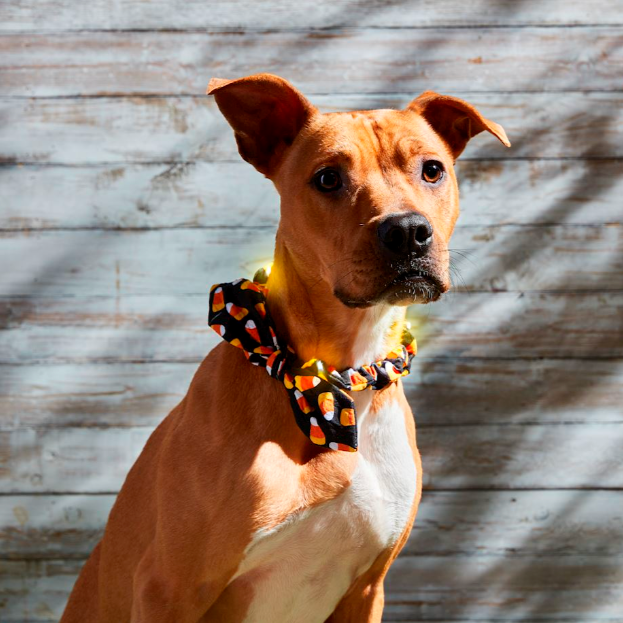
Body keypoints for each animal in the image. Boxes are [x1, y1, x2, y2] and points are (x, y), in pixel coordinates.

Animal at [62, 74, 512, 623]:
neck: (334, 378)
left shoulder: (367, 590)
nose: (408, 231)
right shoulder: (167, 588)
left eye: (432, 170)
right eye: (328, 179)